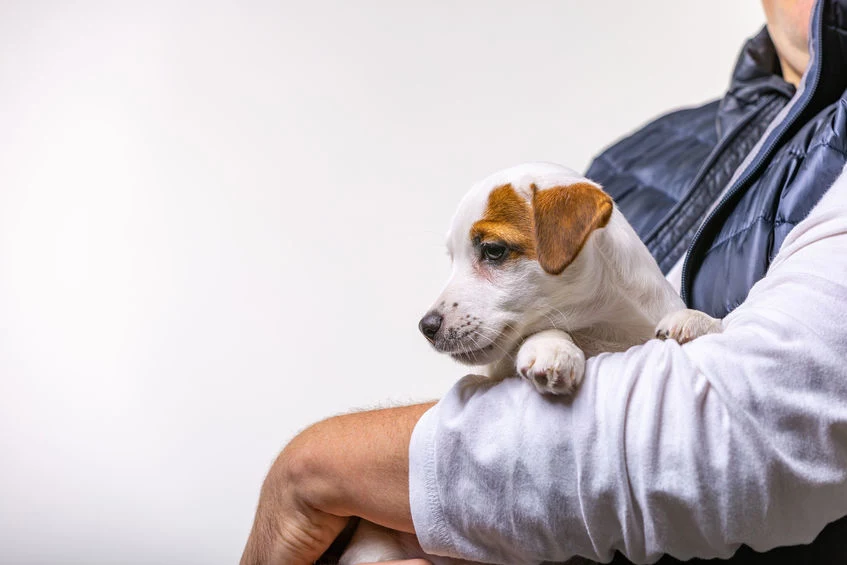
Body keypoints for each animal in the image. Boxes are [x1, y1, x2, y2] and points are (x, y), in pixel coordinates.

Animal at [338, 162, 724, 564]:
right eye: (453, 259)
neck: (602, 328)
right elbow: (546, 332)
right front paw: (552, 348)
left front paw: (694, 321)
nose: (426, 327)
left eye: (493, 250)